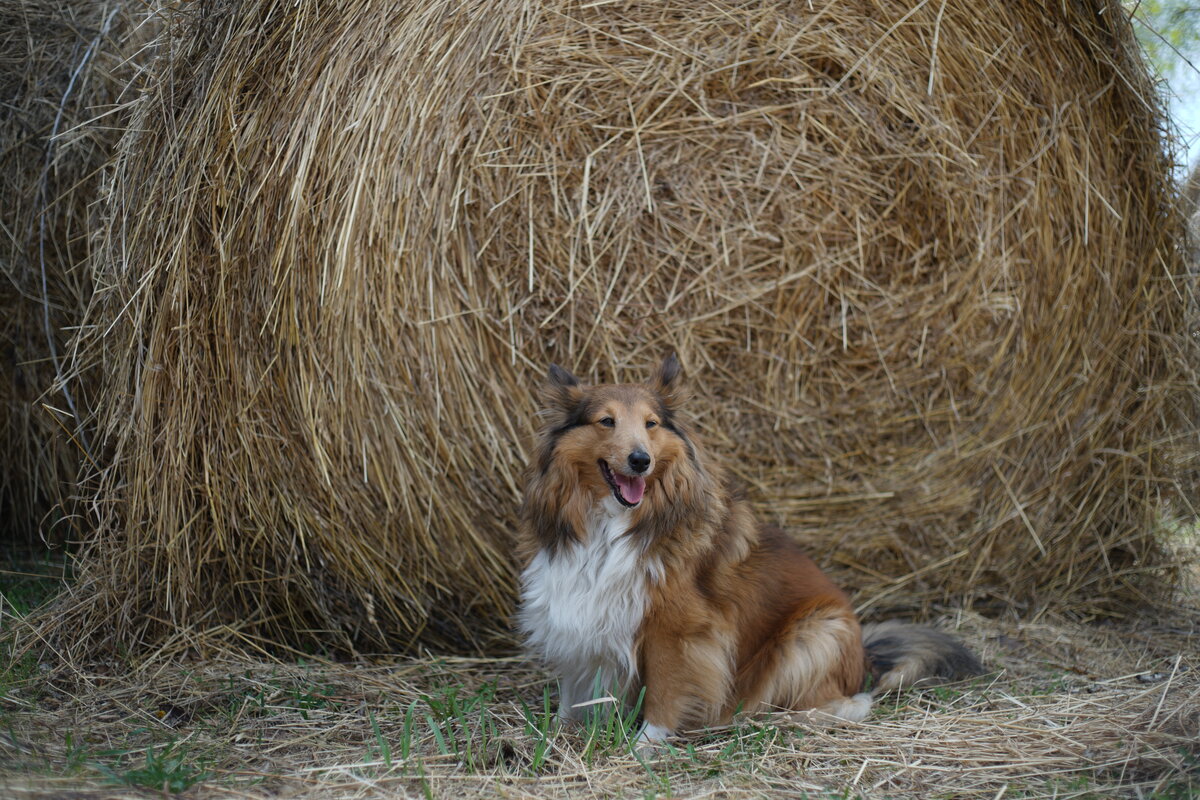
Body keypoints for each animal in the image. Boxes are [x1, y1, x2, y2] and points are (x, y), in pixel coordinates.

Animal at [518, 357, 984, 743]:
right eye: (606, 421)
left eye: (651, 423)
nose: (640, 461)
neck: (612, 526)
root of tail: (866, 657)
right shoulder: (579, 609)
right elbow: (573, 688)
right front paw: (555, 734)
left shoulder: (678, 631)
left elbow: (666, 692)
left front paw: (644, 746)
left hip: (813, 635)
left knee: (849, 704)